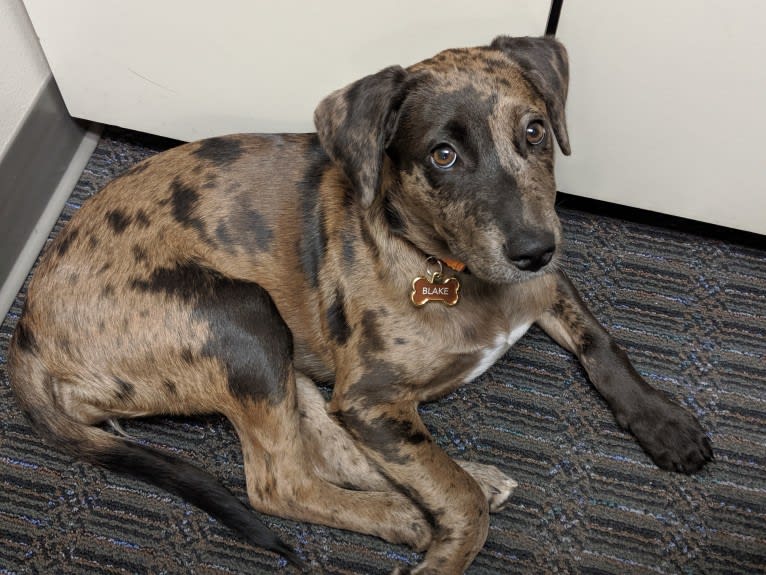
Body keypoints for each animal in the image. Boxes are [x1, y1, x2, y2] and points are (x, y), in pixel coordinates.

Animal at [7, 37, 712, 575]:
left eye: (536, 131)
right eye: (442, 155)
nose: (534, 250)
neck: (447, 268)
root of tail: (26, 333)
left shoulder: (547, 288)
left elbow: (602, 342)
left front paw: (666, 424)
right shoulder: (370, 394)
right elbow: (454, 495)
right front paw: (446, 553)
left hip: (278, 353)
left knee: (327, 448)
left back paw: (459, 485)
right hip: (241, 317)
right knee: (280, 484)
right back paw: (407, 515)